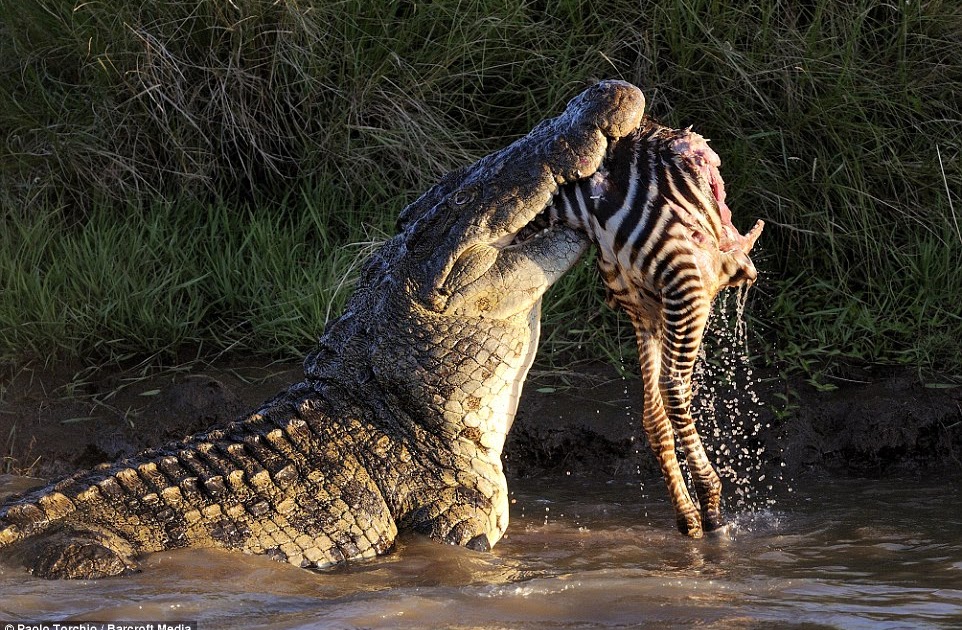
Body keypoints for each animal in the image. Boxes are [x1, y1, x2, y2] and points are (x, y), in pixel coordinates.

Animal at [544, 118, 760, 540]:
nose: (647, 125)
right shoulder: (680, 293)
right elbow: (672, 392)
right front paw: (711, 507)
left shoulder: (646, 313)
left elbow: (652, 414)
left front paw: (691, 515)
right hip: (685, 289)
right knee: (673, 386)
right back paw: (710, 507)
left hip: (646, 305)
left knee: (653, 410)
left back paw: (688, 517)